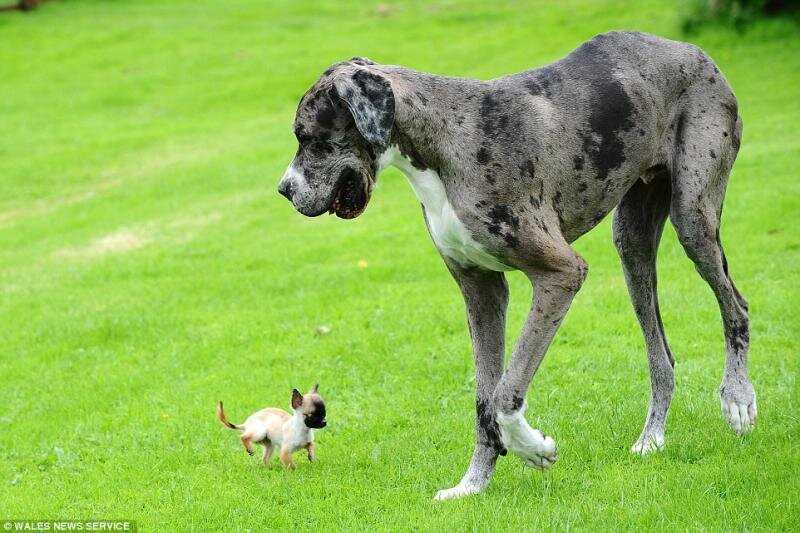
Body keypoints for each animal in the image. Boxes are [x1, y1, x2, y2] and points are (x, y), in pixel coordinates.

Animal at [276, 32, 756, 498]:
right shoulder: (481, 291)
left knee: (736, 306)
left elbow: (506, 392)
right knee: (662, 357)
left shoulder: (562, 273)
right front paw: (473, 484)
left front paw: (532, 447)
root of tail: (693, 51)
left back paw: (737, 397)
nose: (283, 190)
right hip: (632, 245)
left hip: (693, 218)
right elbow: (483, 399)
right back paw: (652, 438)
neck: (442, 144)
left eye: (309, 137)